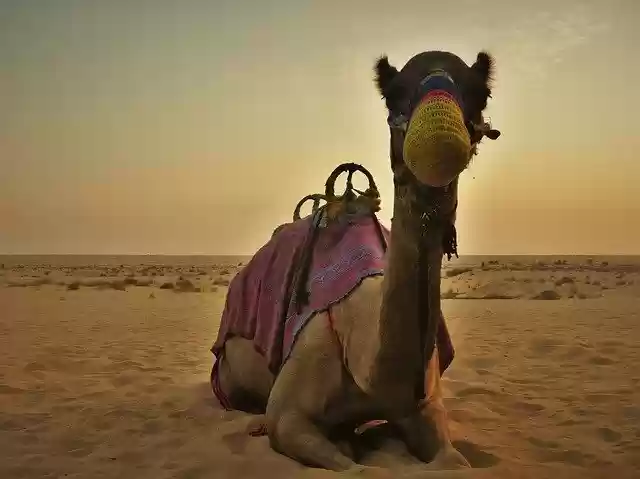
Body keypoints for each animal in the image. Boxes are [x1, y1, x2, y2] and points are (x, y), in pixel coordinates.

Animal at [210, 50, 501, 473]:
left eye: (481, 94)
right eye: (392, 94)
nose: (439, 142)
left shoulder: (427, 408)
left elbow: (455, 462)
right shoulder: (287, 415)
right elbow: (353, 468)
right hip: (228, 376)